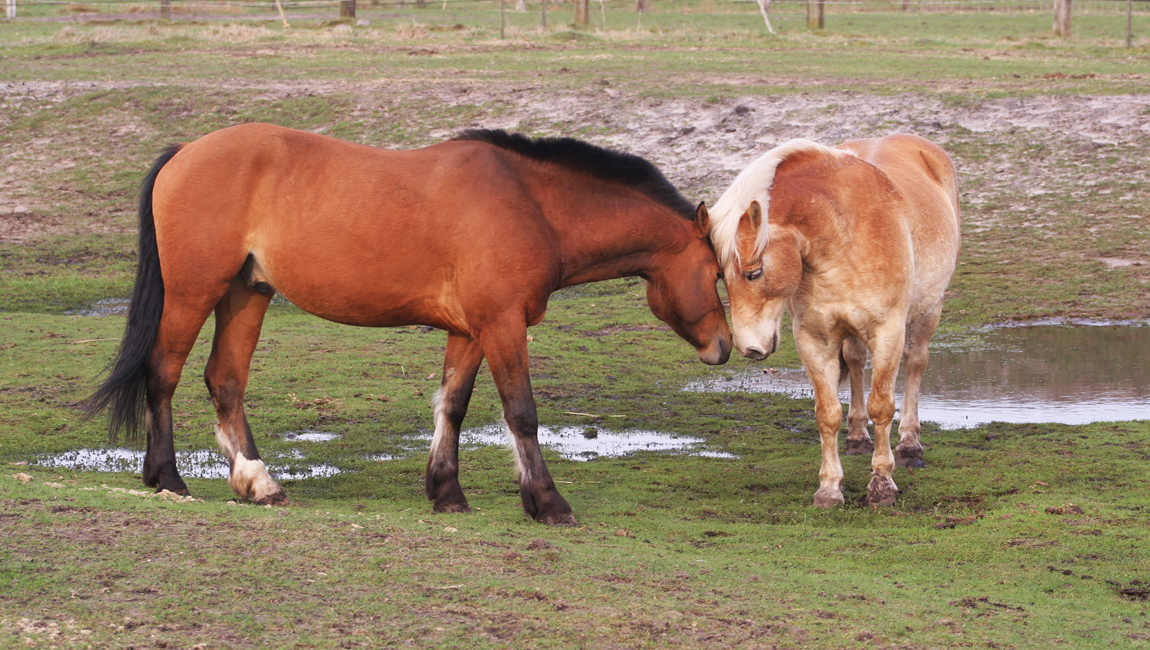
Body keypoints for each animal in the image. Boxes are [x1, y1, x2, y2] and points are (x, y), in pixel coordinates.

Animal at [92, 124, 736, 524]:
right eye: (718, 271)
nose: (725, 347)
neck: (530, 202)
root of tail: (185, 151)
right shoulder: (503, 324)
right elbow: (522, 413)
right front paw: (547, 502)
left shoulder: (471, 330)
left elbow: (452, 406)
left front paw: (446, 491)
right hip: (193, 293)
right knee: (162, 373)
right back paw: (168, 478)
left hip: (246, 294)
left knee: (225, 381)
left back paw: (258, 481)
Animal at [699, 131, 961, 506]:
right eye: (721, 275)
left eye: (755, 272)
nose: (750, 348)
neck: (843, 236)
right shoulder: (816, 339)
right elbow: (827, 414)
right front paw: (829, 488)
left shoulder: (888, 333)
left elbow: (882, 406)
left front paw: (882, 484)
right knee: (854, 362)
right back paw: (857, 436)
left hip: (929, 312)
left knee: (915, 365)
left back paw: (910, 446)